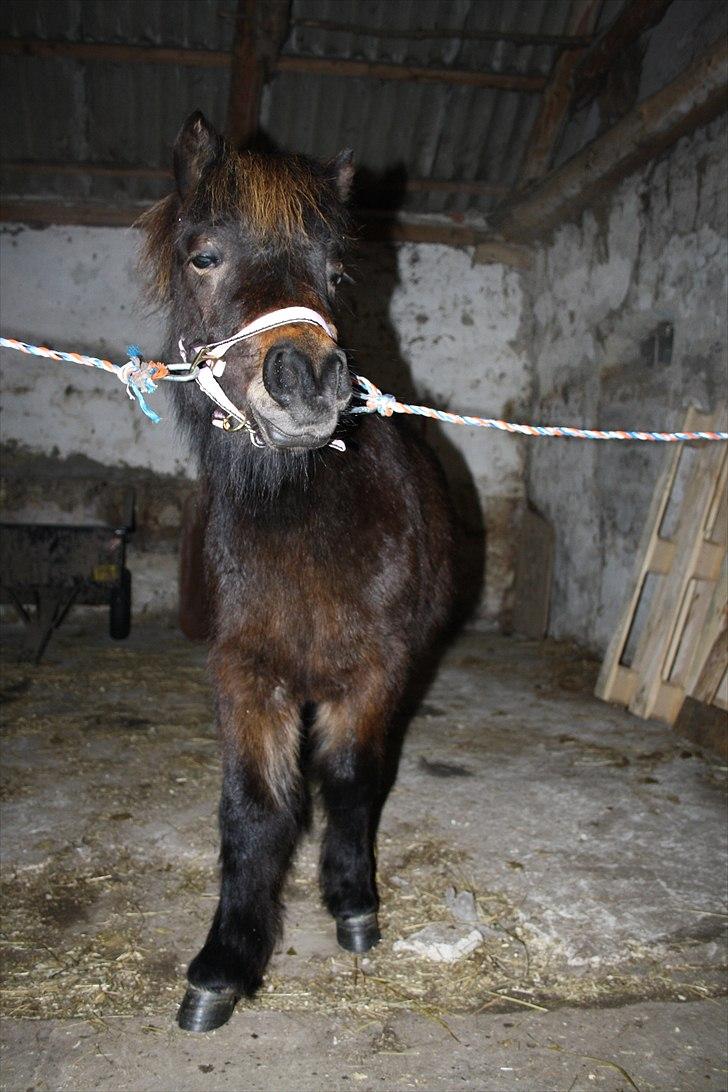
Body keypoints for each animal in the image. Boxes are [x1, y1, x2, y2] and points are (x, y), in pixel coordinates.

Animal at [139, 113, 451, 1030]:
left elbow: (349, 783)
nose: (308, 381)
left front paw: (351, 904)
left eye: (336, 272)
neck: (304, 529)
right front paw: (225, 962)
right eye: (204, 255)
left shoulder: (376, 672)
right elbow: (255, 808)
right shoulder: (246, 675)